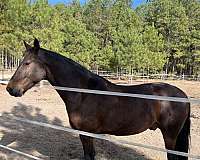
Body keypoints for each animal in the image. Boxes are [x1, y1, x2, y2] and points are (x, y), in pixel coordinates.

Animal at [6, 38, 191, 160]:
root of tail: (183, 95)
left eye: (27, 63)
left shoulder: (86, 134)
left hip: (170, 136)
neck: (83, 93)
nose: (10, 88)